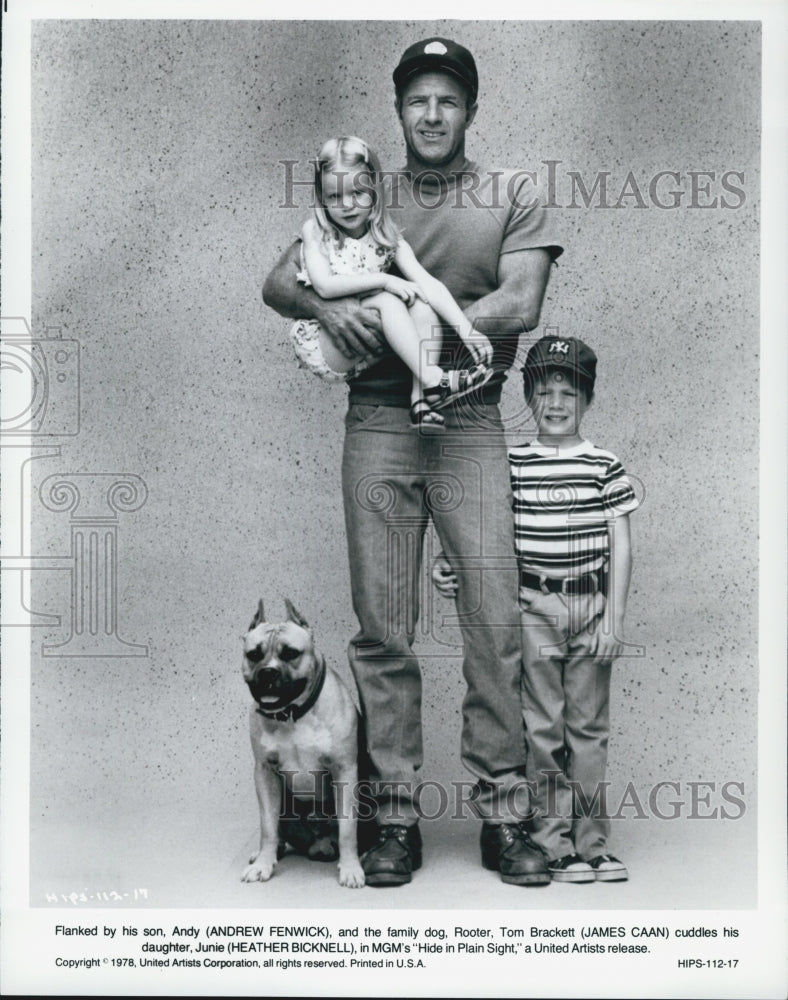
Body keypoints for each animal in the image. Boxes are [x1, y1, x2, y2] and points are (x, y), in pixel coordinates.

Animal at [239, 596, 368, 888]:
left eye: (290, 653)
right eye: (254, 655)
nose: (267, 673)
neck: (292, 715)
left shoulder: (345, 770)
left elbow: (348, 828)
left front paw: (351, 868)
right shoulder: (265, 772)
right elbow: (267, 827)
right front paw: (263, 864)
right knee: (277, 831)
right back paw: (267, 853)